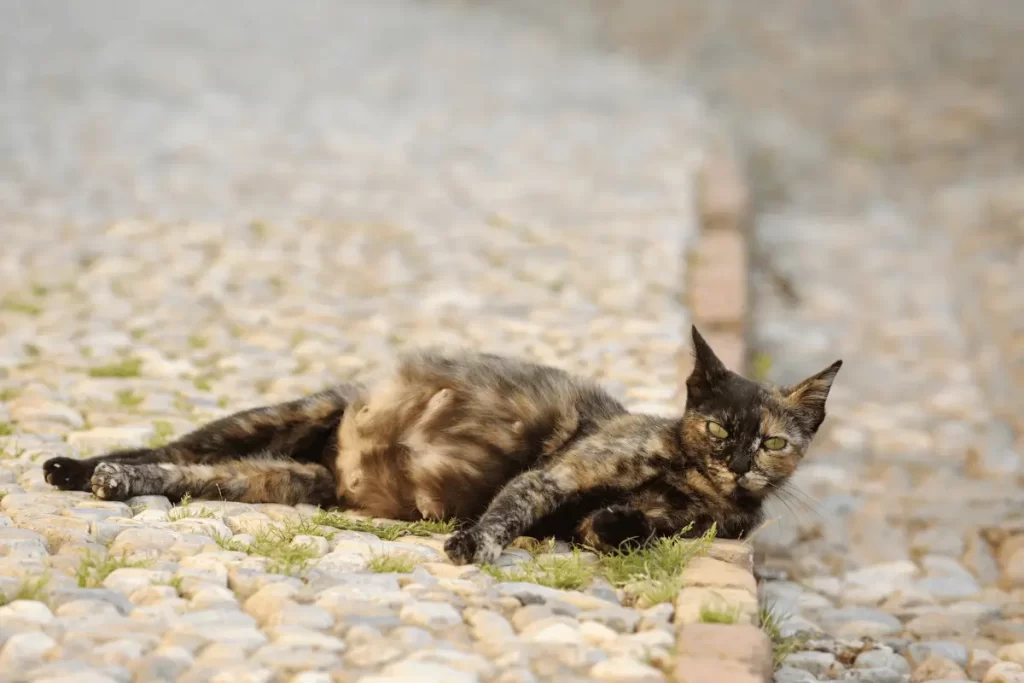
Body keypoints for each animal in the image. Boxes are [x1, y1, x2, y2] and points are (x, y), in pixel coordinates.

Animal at [41, 327, 839, 565]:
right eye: (719, 429)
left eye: (771, 442)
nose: (738, 463)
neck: (690, 482)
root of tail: (338, 468)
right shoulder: (563, 473)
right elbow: (511, 508)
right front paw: (473, 541)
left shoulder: (691, 525)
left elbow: (625, 526)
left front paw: (624, 519)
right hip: (277, 416)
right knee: (171, 446)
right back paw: (81, 467)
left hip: (279, 482)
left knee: (187, 475)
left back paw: (109, 481)